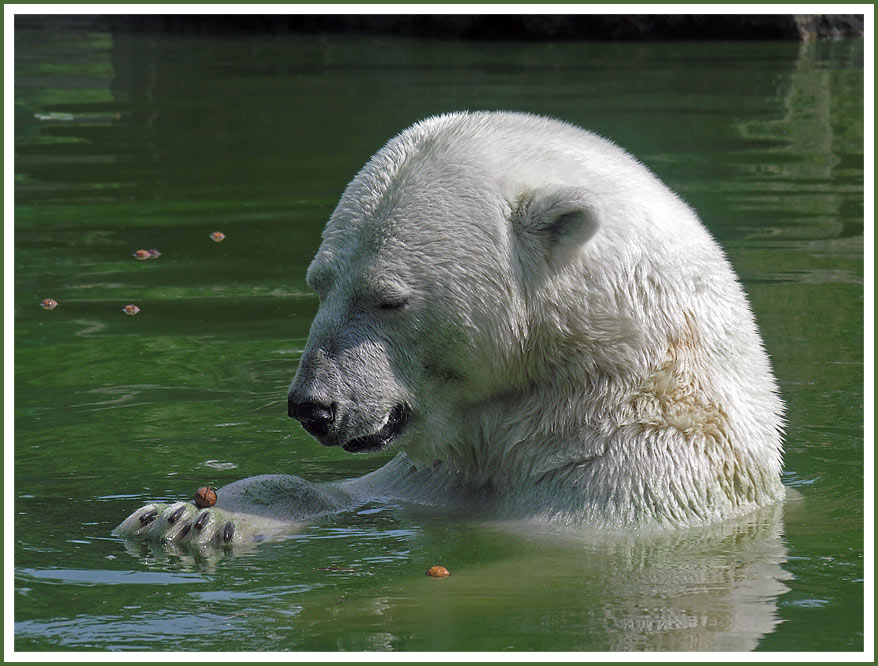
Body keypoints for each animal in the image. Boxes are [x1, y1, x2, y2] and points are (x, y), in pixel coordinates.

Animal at [115, 110, 784, 544]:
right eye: (319, 282)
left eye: (388, 299)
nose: (314, 406)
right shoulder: (434, 477)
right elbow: (345, 493)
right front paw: (185, 517)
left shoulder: (636, 484)